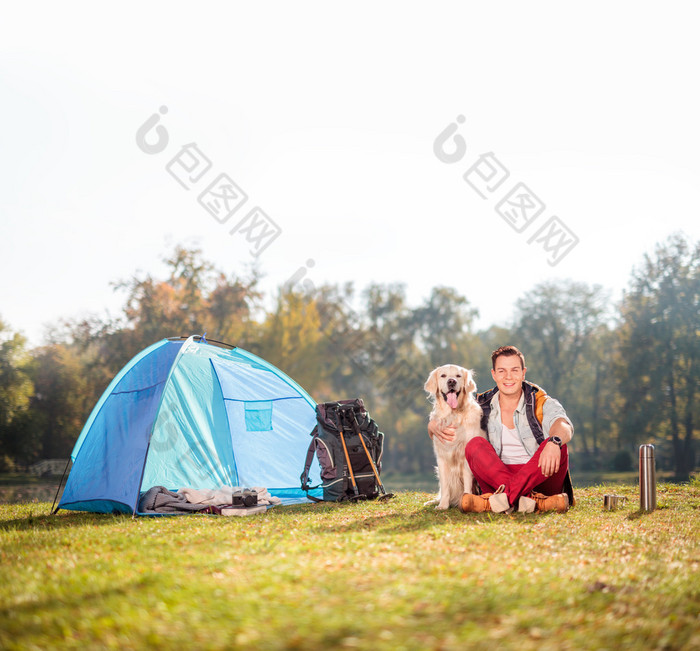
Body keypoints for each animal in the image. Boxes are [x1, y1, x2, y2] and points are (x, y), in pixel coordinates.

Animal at [424, 366, 484, 510]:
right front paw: (443, 506)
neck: (454, 415)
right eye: (443, 375)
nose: (451, 381)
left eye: (458, 375)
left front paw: (467, 501)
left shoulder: (466, 457)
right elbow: (445, 486)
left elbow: (467, 482)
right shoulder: (441, 458)